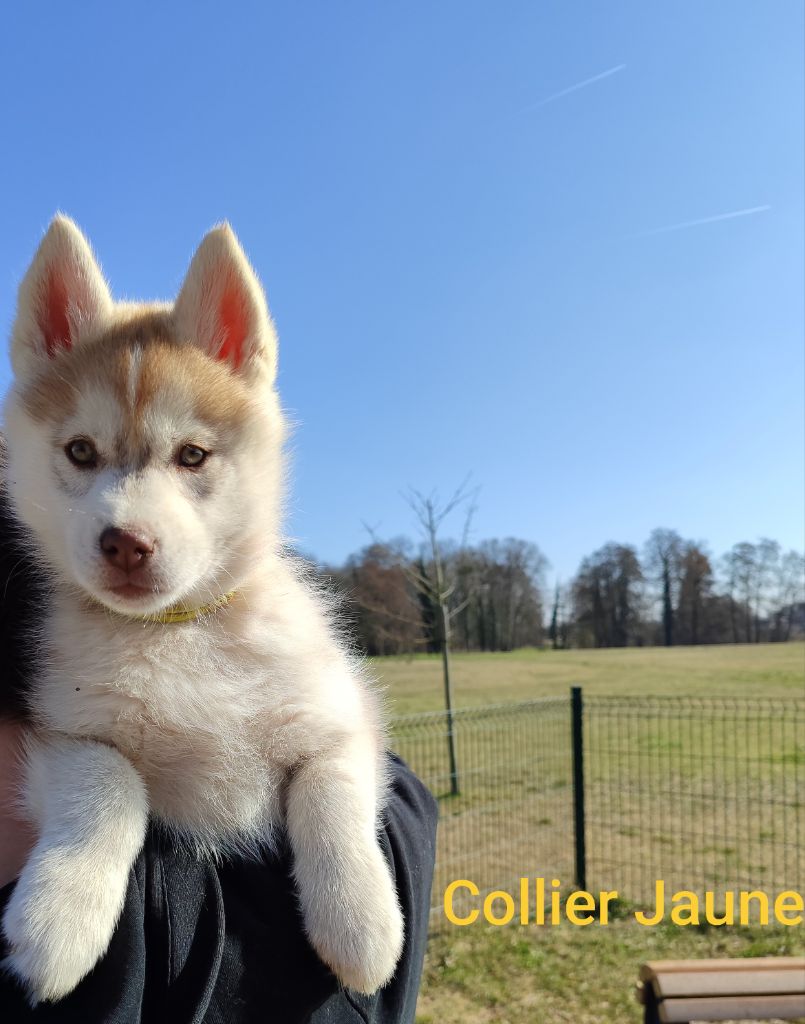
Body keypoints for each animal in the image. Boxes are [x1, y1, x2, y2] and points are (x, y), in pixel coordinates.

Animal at [0, 220, 401, 1003]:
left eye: (191, 455)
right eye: (81, 451)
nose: (126, 542)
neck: (179, 632)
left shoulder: (347, 717)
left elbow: (331, 792)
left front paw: (360, 920)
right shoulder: (60, 732)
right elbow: (109, 782)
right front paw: (59, 920)